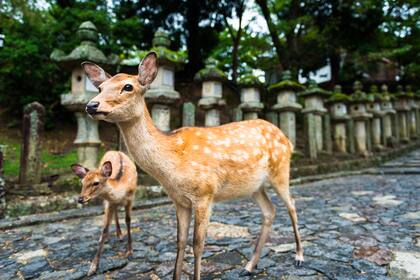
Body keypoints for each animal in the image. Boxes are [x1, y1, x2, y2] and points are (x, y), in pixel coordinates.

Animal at [82, 52, 304, 278]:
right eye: (100, 88)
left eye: (128, 86)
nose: (91, 105)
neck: (171, 167)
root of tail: (287, 140)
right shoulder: (179, 200)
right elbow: (180, 242)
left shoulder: (205, 194)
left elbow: (197, 245)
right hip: (255, 187)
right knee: (270, 211)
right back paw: (249, 266)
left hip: (280, 171)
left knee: (292, 205)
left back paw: (299, 257)